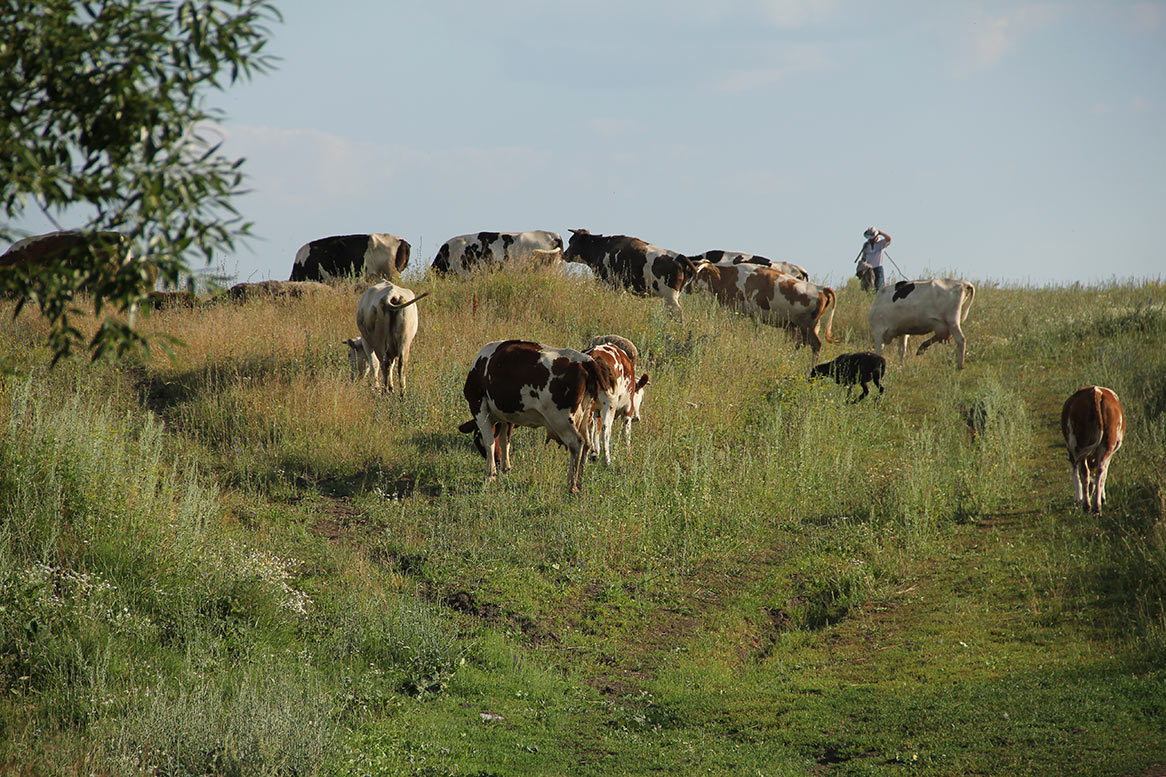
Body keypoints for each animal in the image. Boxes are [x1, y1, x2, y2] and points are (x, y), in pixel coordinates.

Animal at [457, 338, 620, 489]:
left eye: (477, 442)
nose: (497, 463)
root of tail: (585, 361)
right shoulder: (506, 416)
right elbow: (505, 441)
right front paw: (504, 469)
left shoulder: (478, 406)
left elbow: (490, 442)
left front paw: (490, 475)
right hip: (585, 415)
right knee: (586, 444)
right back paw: (579, 483)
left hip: (560, 419)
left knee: (576, 443)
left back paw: (571, 485)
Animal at [562, 227, 694, 317]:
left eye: (571, 241)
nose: (564, 254)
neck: (602, 248)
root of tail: (679, 257)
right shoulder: (619, 287)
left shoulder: (605, 283)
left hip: (670, 296)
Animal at [580, 331, 648, 459]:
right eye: (641, 399)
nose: (637, 417)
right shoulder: (628, 409)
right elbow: (626, 434)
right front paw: (628, 455)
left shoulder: (596, 408)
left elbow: (594, 426)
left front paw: (595, 451)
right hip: (610, 403)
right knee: (606, 428)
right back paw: (607, 460)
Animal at [685, 261, 834, 354]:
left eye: (697, 274)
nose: (686, 287)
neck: (729, 278)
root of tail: (821, 288)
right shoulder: (752, 317)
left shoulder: (734, 312)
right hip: (805, 327)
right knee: (801, 344)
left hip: (807, 326)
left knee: (815, 345)